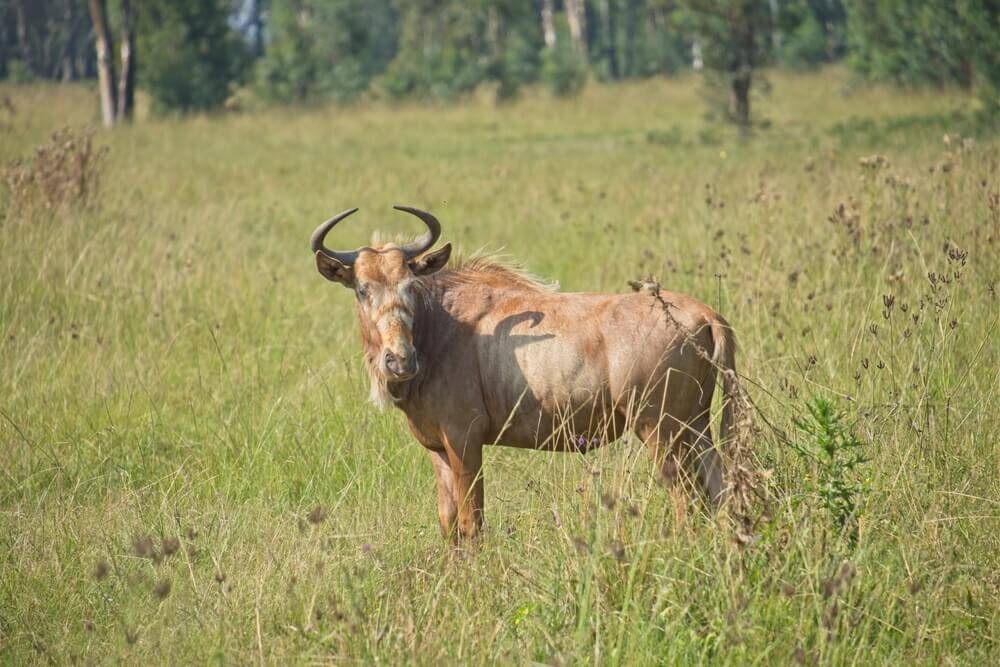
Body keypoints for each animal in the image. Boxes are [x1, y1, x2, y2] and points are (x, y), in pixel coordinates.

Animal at [312, 206, 739, 540]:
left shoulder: (466, 442)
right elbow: (448, 524)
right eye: (362, 289)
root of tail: (705, 315)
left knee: (688, 501)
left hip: (661, 432)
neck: (440, 326)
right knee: (720, 490)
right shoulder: (439, 449)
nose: (400, 361)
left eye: (411, 285)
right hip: (696, 429)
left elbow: (472, 523)